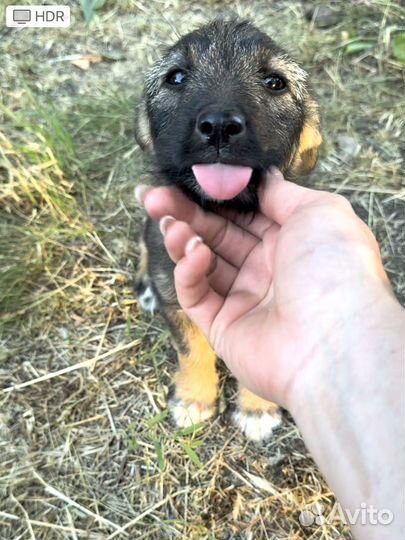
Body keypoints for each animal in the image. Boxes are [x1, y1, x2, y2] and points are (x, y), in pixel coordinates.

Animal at [134, 20, 320, 442]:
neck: (228, 209)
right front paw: (194, 399)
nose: (219, 126)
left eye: (274, 82)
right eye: (176, 77)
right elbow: (191, 350)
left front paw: (257, 407)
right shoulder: (175, 289)